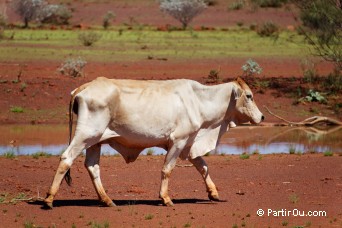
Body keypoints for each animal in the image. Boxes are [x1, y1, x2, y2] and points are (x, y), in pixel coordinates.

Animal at [44, 76, 264, 208]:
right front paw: (165, 198)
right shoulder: (178, 141)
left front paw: (213, 193)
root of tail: (84, 87)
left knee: (92, 167)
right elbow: (167, 170)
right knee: (66, 158)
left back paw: (107, 200)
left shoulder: (189, 144)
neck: (199, 101)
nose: (262, 117)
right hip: (86, 135)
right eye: (249, 96)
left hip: (95, 142)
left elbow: (203, 167)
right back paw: (49, 199)